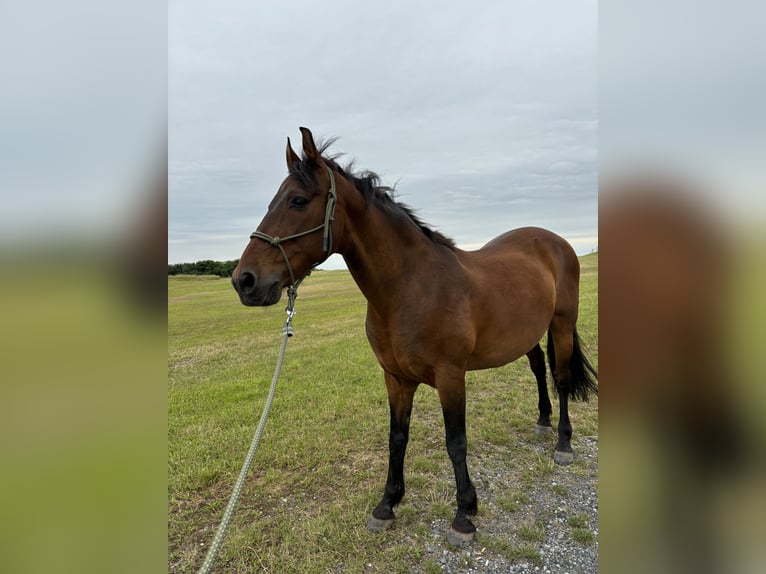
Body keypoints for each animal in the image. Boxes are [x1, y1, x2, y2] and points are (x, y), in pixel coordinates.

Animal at [234, 127, 600, 548]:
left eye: (297, 201)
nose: (244, 281)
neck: (411, 288)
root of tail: (555, 241)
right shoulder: (395, 378)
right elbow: (397, 437)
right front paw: (387, 505)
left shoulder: (451, 377)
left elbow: (456, 442)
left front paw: (464, 515)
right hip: (526, 334)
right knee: (539, 369)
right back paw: (542, 421)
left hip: (561, 325)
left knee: (561, 378)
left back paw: (563, 443)